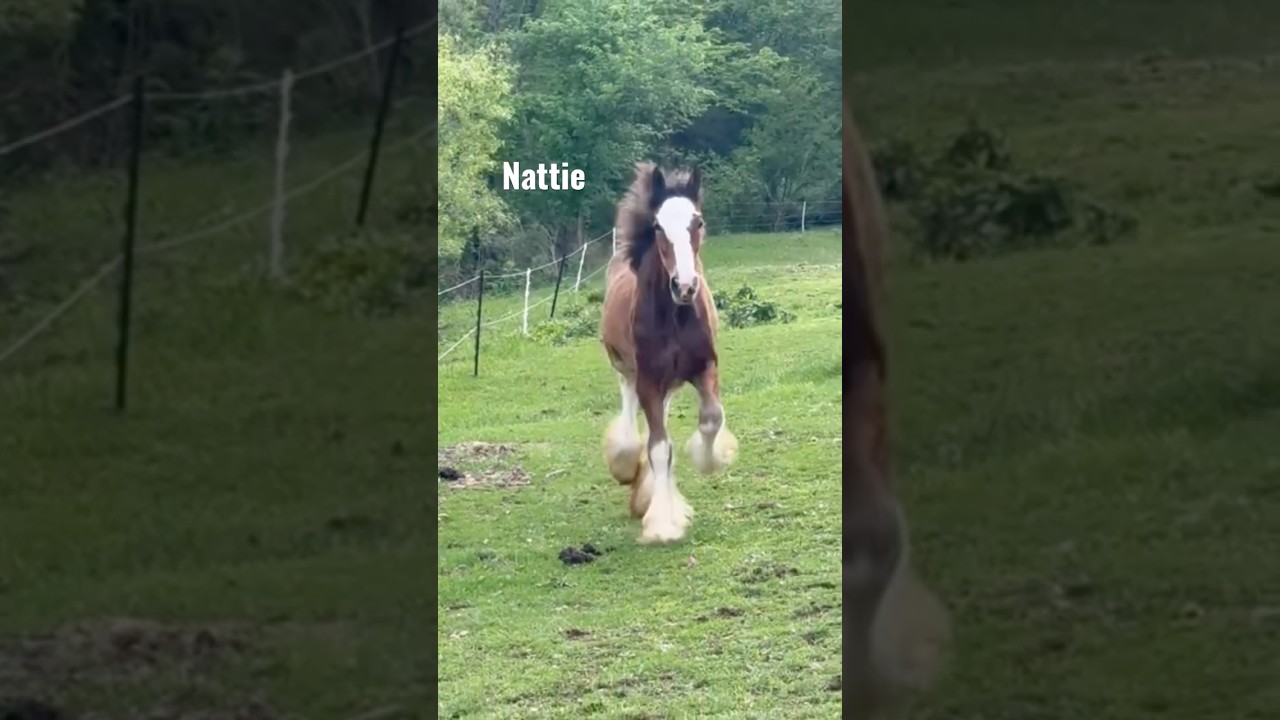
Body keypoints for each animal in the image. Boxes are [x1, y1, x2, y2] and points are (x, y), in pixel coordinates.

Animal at [598, 161, 738, 544]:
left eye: (698, 222)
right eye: (659, 226)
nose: (685, 286)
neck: (676, 316)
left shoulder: (704, 367)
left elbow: (711, 419)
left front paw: (709, 459)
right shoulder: (647, 379)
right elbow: (659, 448)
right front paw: (663, 523)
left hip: (670, 382)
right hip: (626, 369)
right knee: (633, 421)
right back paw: (628, 468)